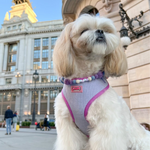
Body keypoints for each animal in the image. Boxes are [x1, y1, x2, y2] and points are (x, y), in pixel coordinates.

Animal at [52, 14, 150, 150]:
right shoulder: (68, 127)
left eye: (106, 29)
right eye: (84, 30)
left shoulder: (107, 125)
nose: (100, 31)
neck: (84, 80)